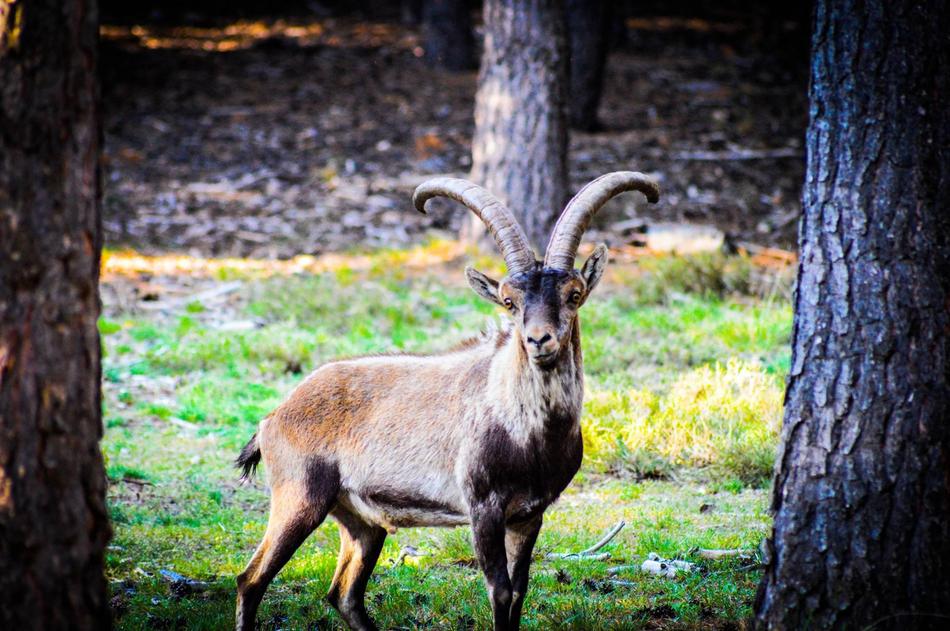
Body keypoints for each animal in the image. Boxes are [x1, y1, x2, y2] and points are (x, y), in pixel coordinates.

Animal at [234, 171, 660, 631]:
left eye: (574, 294)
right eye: (509, 301)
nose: (539, 340)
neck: (528, 433)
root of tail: (274, 417)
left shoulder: (529, 515)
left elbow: (520, 592)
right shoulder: (483, 507)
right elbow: (500, 591)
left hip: (361, 520)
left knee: (344, 593)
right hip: (299, 498)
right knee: (251, 580)